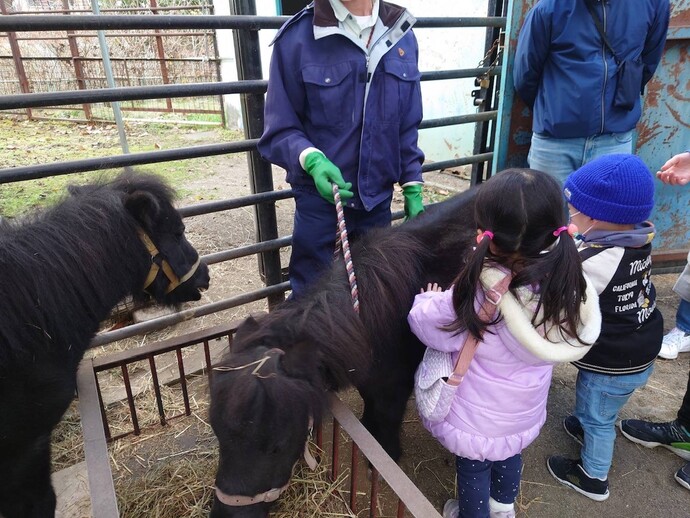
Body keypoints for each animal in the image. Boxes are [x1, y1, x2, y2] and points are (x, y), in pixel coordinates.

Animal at [210, 189, 478, 516]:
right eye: (217, 433)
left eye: (277, 445)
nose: (226, 513)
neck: (370, 317)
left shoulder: (395, 384)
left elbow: (387, 418)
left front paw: (384, 456)